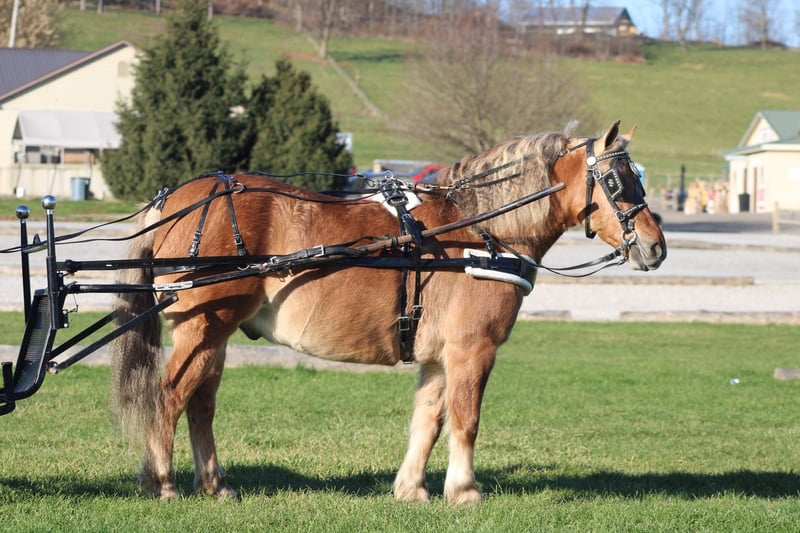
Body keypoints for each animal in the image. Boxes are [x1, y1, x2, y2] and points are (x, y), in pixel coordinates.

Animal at [111, 120, 666, 504]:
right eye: (617, 182)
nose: (656, 247)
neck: (476, 229)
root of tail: (176, 200)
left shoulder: (439, 357)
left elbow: (428, 419)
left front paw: (412, 488)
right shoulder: (472, 350)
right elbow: (466, 419)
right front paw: (465, 490)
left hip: (214, 335)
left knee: (200, 406)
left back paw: (215, 484)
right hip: (202, 331)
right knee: (168, 397)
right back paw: (162, 483)